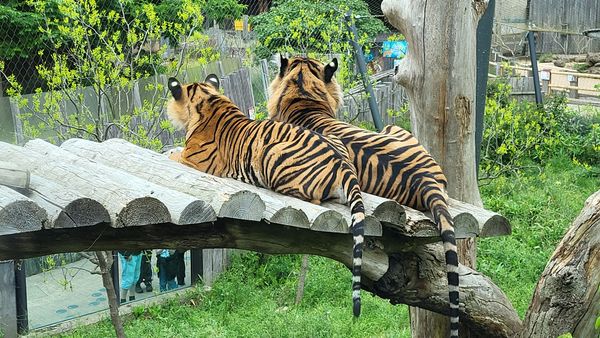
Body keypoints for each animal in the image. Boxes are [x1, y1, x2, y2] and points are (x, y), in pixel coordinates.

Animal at [166, 73, 368, 316]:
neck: (207, 98)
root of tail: (343, 163)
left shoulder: (193, 161)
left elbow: (174, 155)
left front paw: (169, 152)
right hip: (332, 140)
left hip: (271, 153)